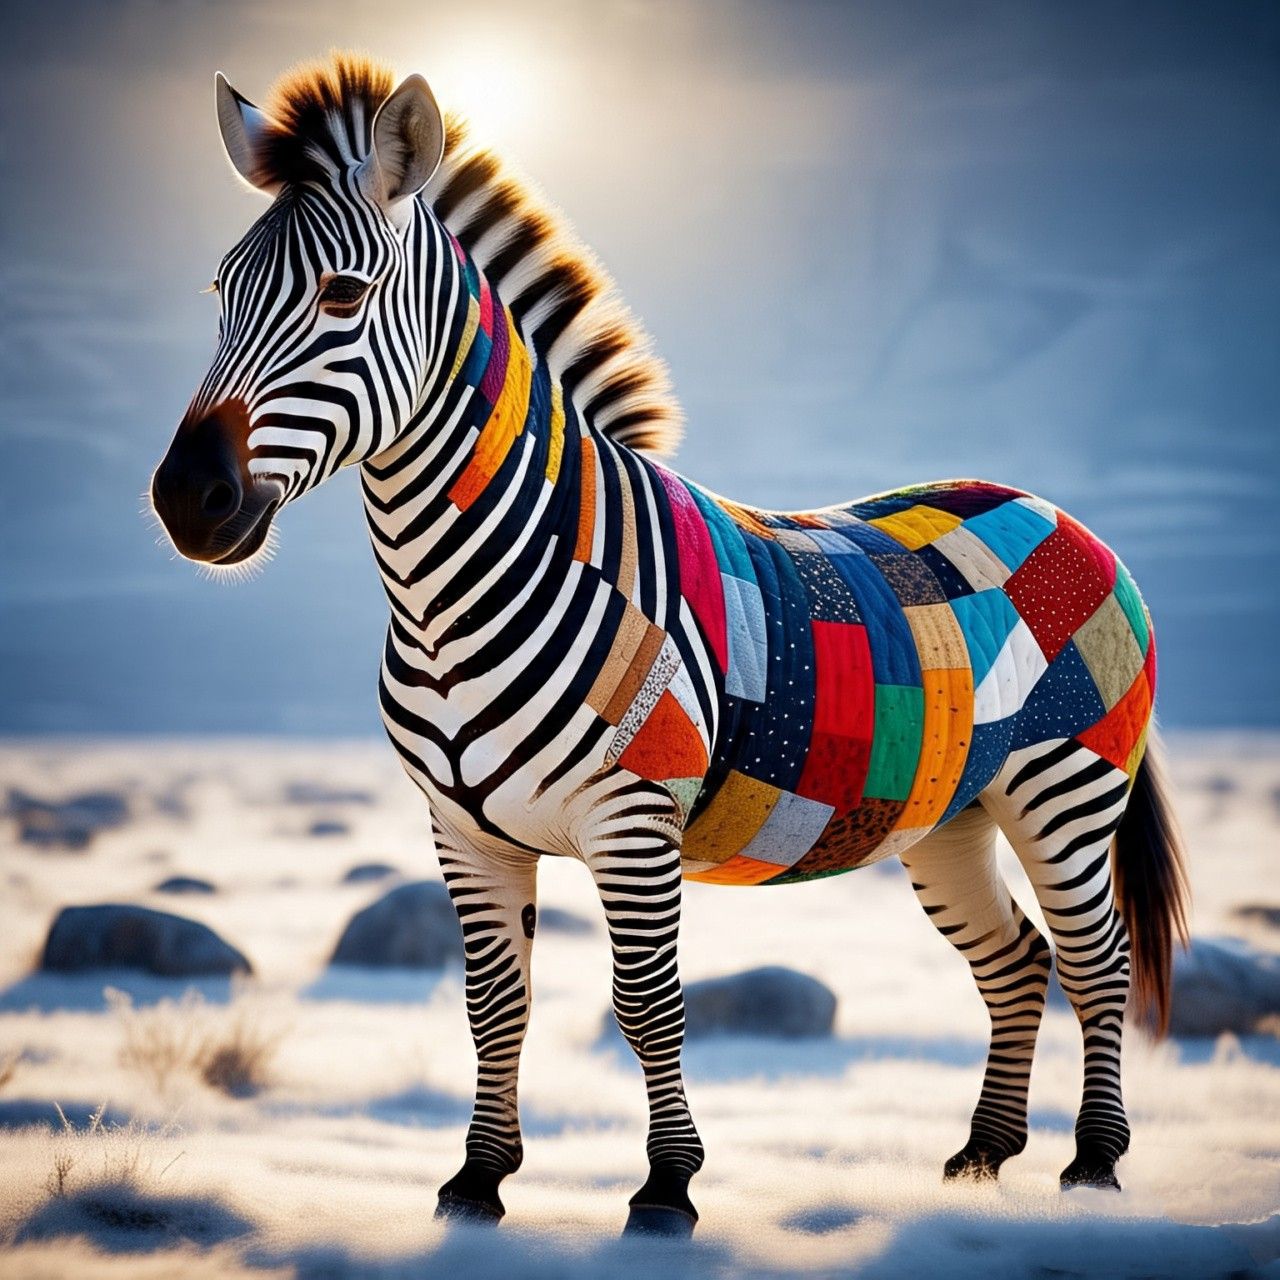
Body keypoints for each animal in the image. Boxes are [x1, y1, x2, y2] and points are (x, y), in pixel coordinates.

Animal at [151, 54, 1189, 1237]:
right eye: (218, 296)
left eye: (342, 296)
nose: (185, 500)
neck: (460, 586)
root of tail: (1050, 507)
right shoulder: (463, 832)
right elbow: (493, 1002)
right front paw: (475, 1182)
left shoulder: (633, 815)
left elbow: (645, 1002)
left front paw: (664, 1186)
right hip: (949, 814)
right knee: (1015, 959)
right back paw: (980, 1157)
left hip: (1066, 785)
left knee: (1095, 960)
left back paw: (1092, 1166)